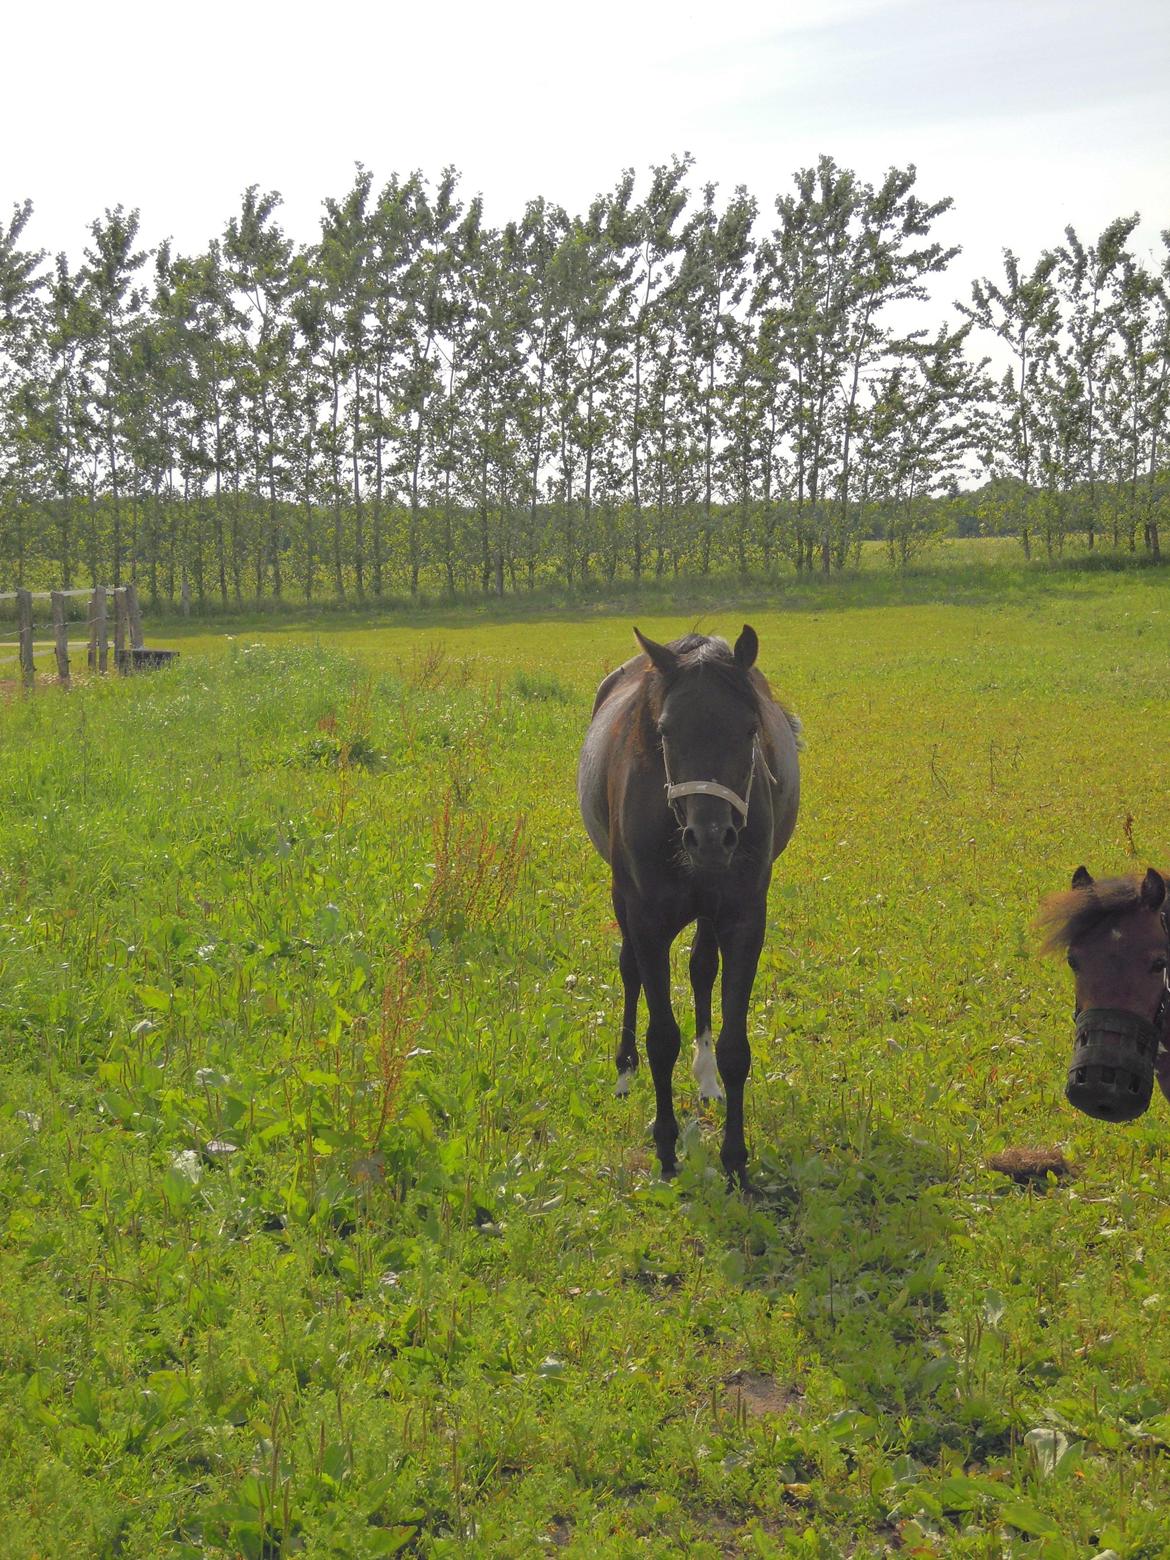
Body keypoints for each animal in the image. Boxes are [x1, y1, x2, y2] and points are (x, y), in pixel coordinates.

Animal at [580, 620, 804, 1179]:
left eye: (750, 729)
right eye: (664, 731)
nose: (710, 838)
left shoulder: (744, 919)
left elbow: (735, 1046)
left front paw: (735, 1158)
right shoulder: (645, 919)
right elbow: (661, 1038)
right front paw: (665, 1147)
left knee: (702, 968)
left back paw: (705, 1079)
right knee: (630, 971)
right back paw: (625, 1071)